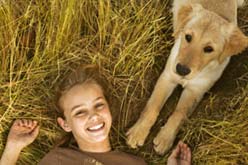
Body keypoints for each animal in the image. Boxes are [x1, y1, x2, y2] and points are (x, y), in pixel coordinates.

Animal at [127, 0, 247, 155]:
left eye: (209, 49)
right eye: (188, 37)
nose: (181, 70)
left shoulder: (195, 91)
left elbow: (179, 113)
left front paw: (165, 138)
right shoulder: (168, 76)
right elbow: (152, 106)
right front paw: (138, 132)